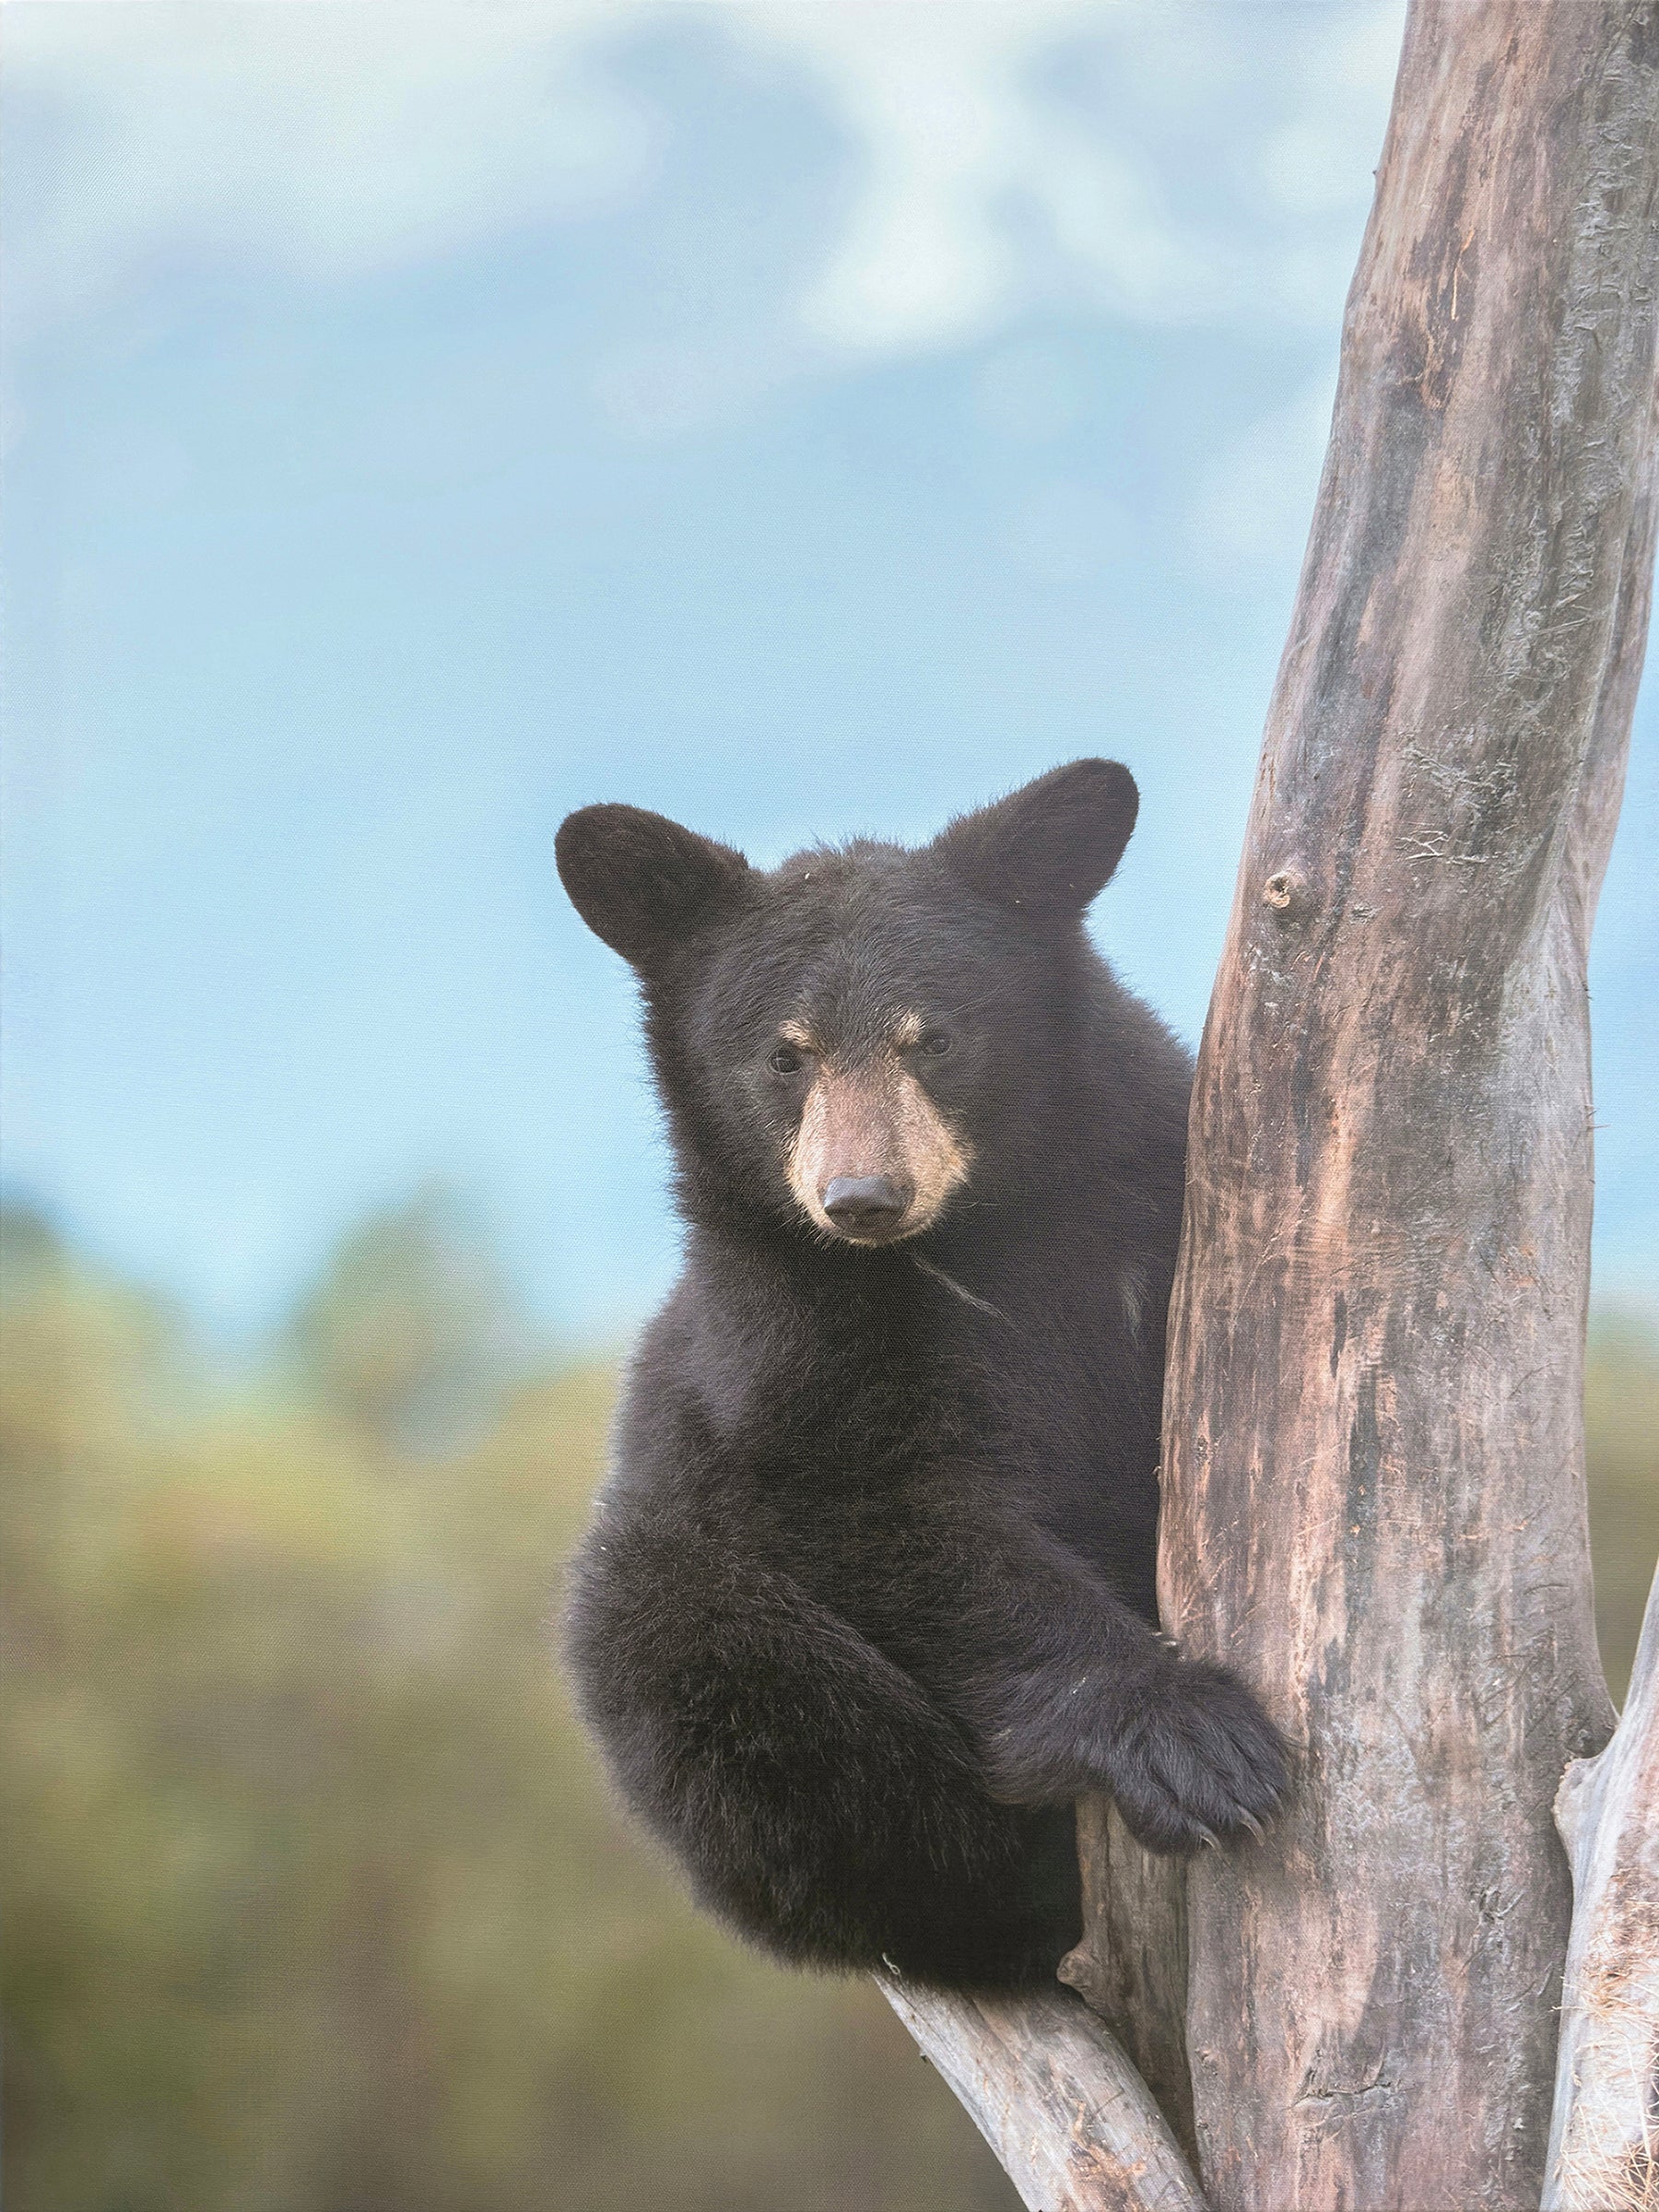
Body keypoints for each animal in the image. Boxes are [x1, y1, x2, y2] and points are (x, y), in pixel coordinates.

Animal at [556, 760, 1287, 1992]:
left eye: (933, 1040)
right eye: (785, 1054)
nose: (862, 1197)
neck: (981, 1236)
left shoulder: (1148, 1194)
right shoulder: (783, 1337)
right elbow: (881, 1507)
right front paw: (1195, 1740)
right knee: (670, 1621)